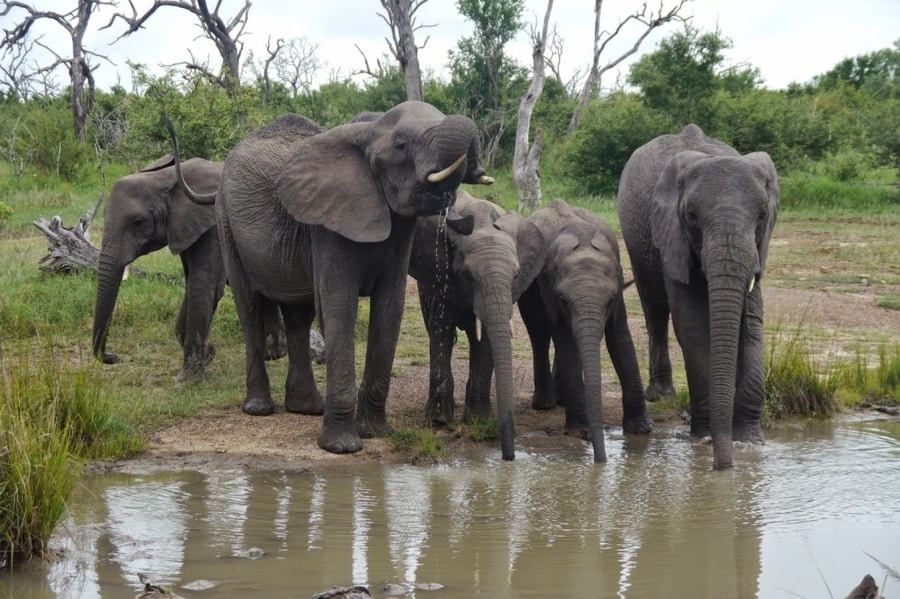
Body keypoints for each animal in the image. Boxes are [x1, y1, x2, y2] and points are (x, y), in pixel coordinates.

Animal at [91, 154, 284, 380]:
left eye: (138, 222)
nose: (114, 357)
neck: (164, 179)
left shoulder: (213, 223)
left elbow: (204, 283)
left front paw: (187, 379)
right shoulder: (183, 229)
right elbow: (191, 280)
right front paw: (208, 355)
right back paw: (273, 354)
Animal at [169, 103, 492, 454]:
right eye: (401, 145)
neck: (365, 133)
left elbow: (389, 310)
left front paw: (375, 432)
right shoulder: (326, 227)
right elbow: (339, 307)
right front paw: (341, 447)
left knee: (299, 315)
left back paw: (306, 408)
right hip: (226, 222)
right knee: (249, 306)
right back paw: (259, 408)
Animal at [512, 198, 652, 464]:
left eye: (610, 299)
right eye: (563, 299)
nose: (601, 460)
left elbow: (621, 341)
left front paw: (641, 429)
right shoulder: (549, 291)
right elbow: (567, 343)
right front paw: (578, 432)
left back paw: (560, 400)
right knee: (539, 335)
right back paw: (545, 404)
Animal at [620, 124, 780, 472]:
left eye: (762, 215)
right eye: (692, 216)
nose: (723, 467)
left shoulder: (758, 248)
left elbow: (752, 326)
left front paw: (750, 442)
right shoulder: (673, 233)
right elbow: (692, 325)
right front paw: (705, 437)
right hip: (636, 241)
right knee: (654, 308)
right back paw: (661, 396)